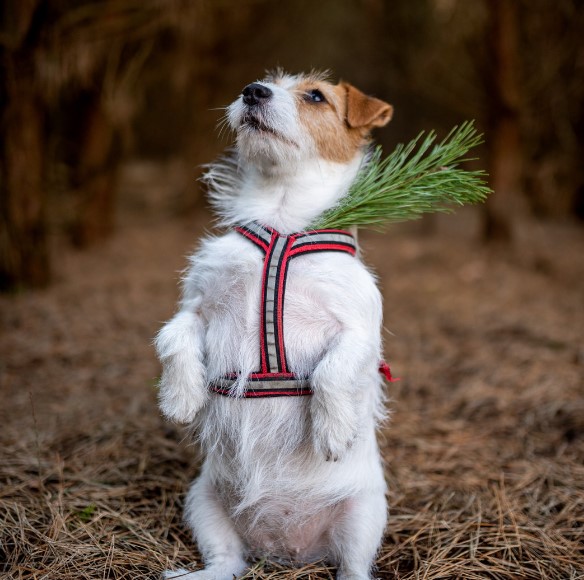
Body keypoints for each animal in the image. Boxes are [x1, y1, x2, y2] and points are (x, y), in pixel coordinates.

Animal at [155, 72, 392, 580]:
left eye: (316, 95)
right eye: (264, 82)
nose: (253, 91)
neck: (282, 220)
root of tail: (288, 550)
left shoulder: (359, 332)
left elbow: (331, 371)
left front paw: (333, 430)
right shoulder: (197, 306)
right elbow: (172, 335)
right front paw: (181, 397)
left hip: (365, 515)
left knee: (353, 569)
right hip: (203, 500)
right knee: (227, 562)